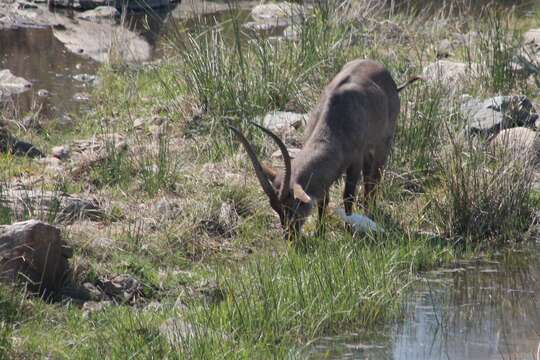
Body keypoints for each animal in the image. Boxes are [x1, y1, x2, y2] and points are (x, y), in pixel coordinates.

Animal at [230, 58, 420, 239]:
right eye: (276, 208)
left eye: (293, 205)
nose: (290, 236)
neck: (334, 121)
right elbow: (324, 199)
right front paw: (320, 232)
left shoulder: (355, 159)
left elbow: (348, 195)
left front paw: (348, 227)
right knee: (368, 179)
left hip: (382, 143)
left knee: (374, 179)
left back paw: (370, 213)